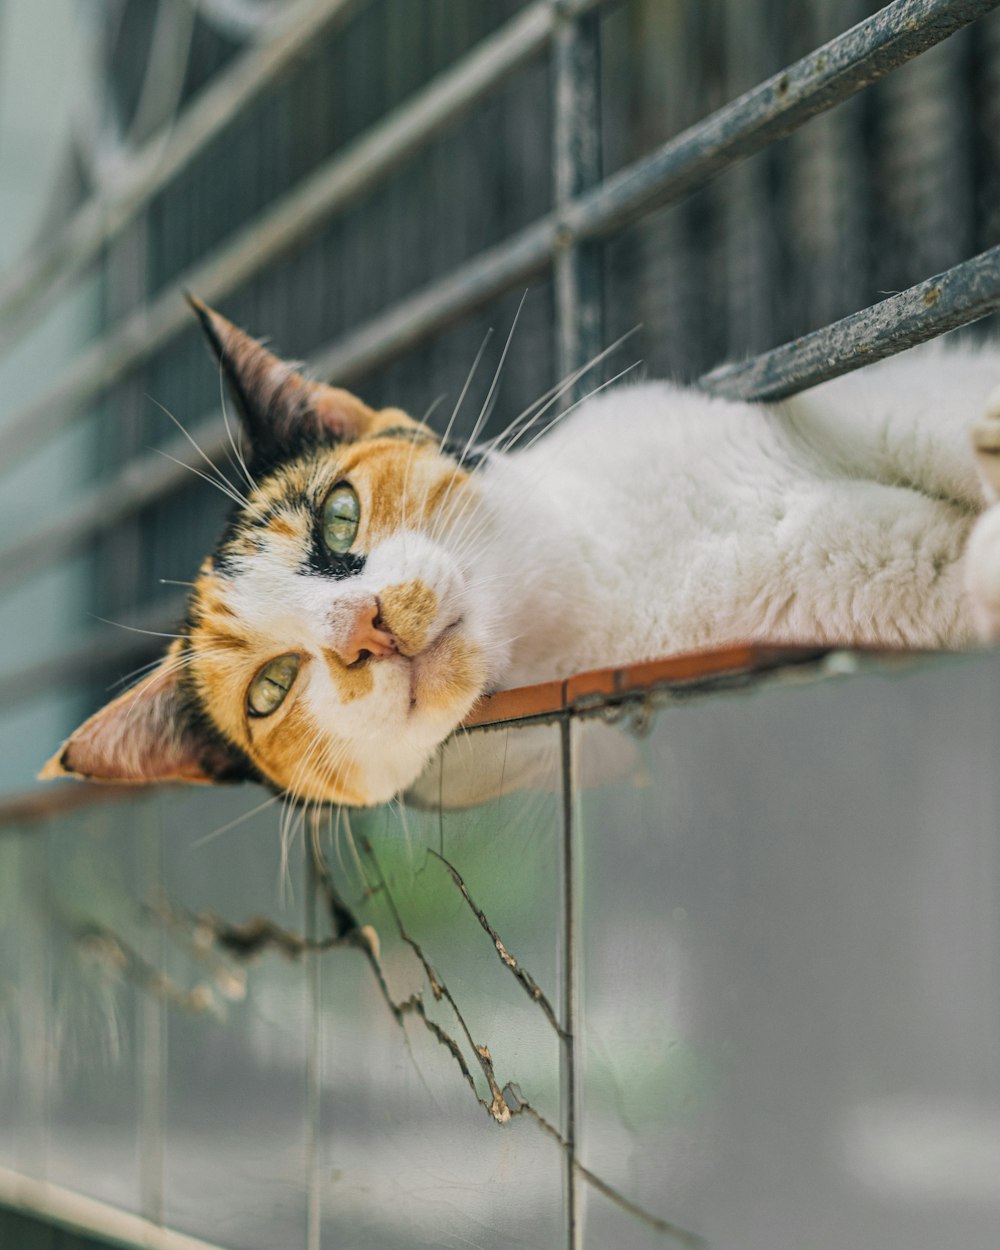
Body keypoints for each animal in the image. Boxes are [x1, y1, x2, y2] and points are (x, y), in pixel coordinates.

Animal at [39, 301, 1000, 805]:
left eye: (339, 519)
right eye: (271, 691)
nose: (362, 627)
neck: (605, 594)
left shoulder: (861, 401)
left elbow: (920, 414)